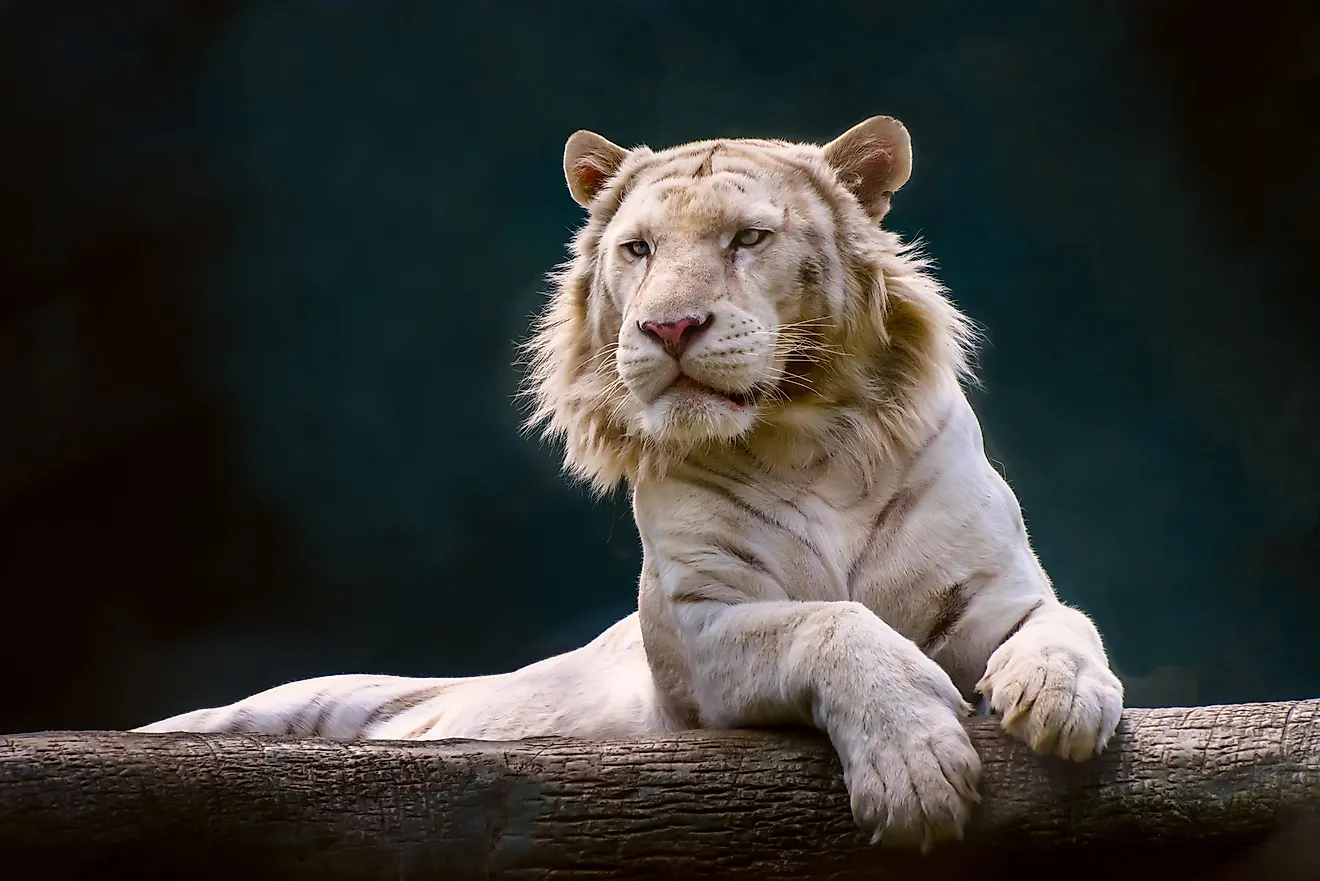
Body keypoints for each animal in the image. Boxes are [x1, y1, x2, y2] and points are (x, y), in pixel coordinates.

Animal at [136, 116, 1124, 855]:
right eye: (639, 250)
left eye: (748, 239)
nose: (669, 326)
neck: (809, 446)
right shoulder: (702, 632)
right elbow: (830, 622)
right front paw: (915, 769)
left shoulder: (997, 593)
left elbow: (1069, 624)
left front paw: (1064, 698)